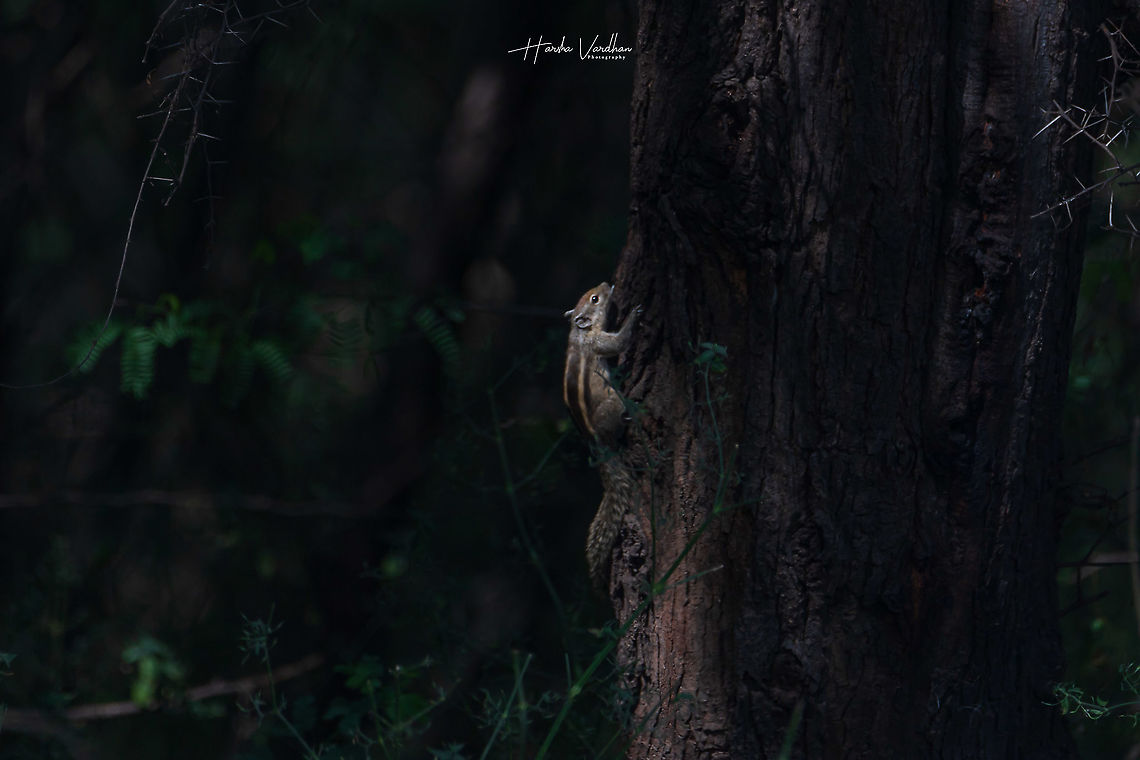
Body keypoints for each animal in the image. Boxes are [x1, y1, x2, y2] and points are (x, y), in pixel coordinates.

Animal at [563, 283, 641, 588]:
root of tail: (597, 445)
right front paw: (634, 315)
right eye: (595, 299)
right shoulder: (599, 342)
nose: (607, 284)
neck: (579, 333)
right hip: (612, 404)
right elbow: (618, 343)